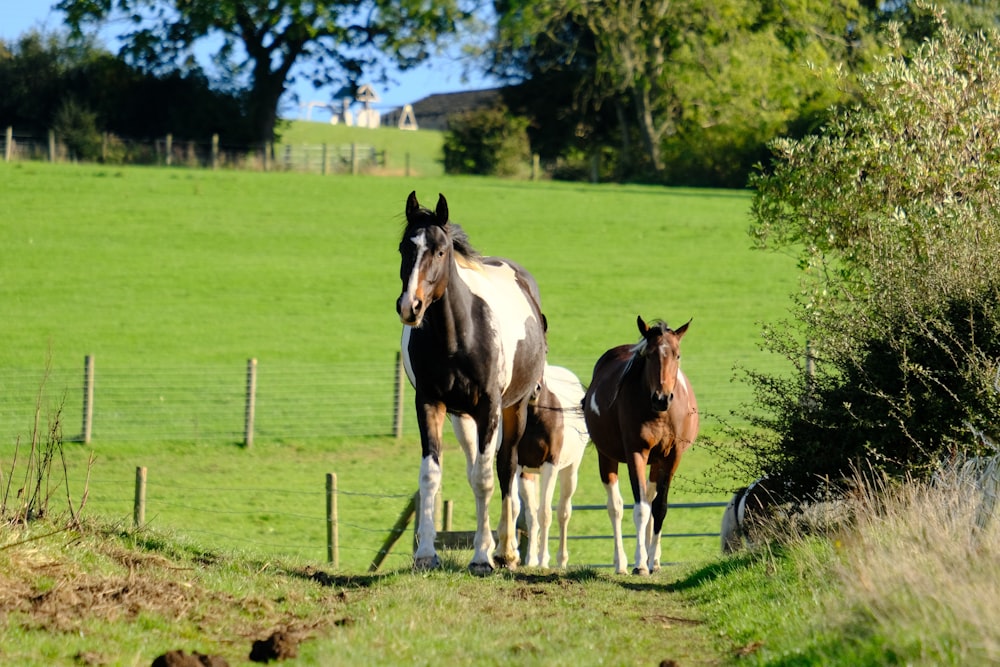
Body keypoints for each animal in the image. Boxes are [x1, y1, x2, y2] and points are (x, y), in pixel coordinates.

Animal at [394, 192, 548, 576]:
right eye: (405, 247)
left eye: (440, 251)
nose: (410, 306)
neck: (456, 336)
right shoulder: (430, 403)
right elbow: (431, 475)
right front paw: (425, 554)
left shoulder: (490, 407)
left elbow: (486, 478)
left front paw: (482, 558)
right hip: (462, 418)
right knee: (474, 466)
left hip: (514, 409)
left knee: (504, 468)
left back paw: (505, 551)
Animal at [584, 318, 700, 576]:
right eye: (649, 355)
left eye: (677, 355)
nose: (662, 398)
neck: (659, 414)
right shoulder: (636, 453)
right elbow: (640, 510)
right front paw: (639, 563)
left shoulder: (672, 457)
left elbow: (659, 507)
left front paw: (651, 559)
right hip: (606, 456)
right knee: (615, 507)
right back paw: (621, 563)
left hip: (656, 462)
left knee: (649, 496)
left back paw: (652, 558)